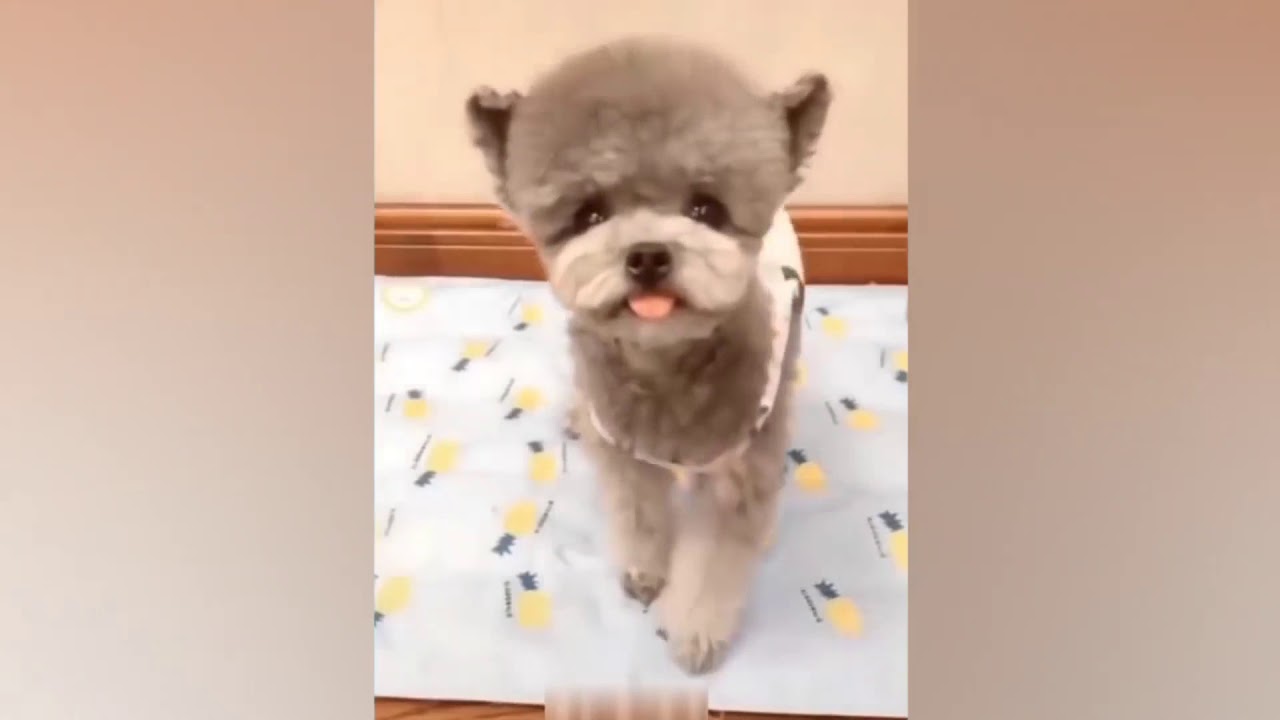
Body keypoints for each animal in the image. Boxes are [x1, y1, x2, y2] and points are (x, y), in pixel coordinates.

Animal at [465, 36, 830, 675]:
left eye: (707, 209)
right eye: (588, 214)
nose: (648, 255)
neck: (665, 365)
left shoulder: (738, 467)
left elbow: (714, 559)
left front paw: (696, 635)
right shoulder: (626, 452)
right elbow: (639, 513)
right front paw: (645, 572)